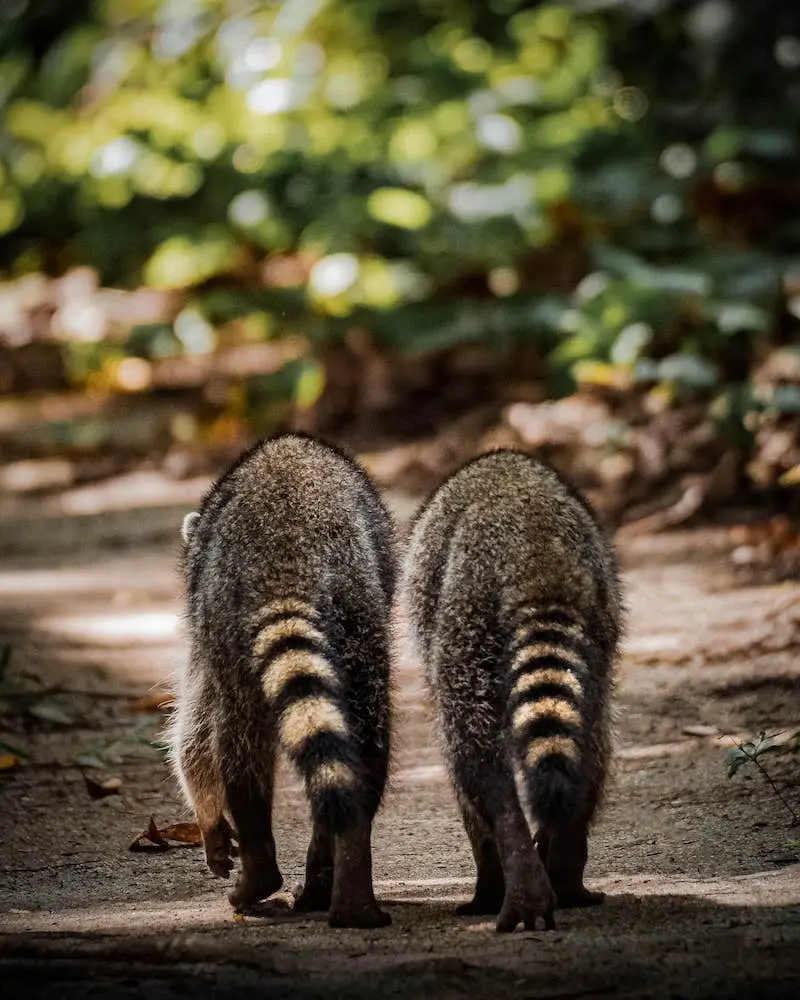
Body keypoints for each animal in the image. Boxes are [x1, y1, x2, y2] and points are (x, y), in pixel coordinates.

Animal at [170, 434, 396, 924]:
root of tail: (286, 555)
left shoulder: (203, 627)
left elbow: (193, 734)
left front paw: (210, 823)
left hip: (226, 616)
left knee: (238, 742)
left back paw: (257, 861)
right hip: (360, 615)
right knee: (367, 744)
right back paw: (343, 866)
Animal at [400, 450, 624, 932]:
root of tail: (536, 551)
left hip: (464, 616)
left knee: (471, 754)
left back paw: (506, 869)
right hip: (596, 625)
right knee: (593, 742)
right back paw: (565, 863)